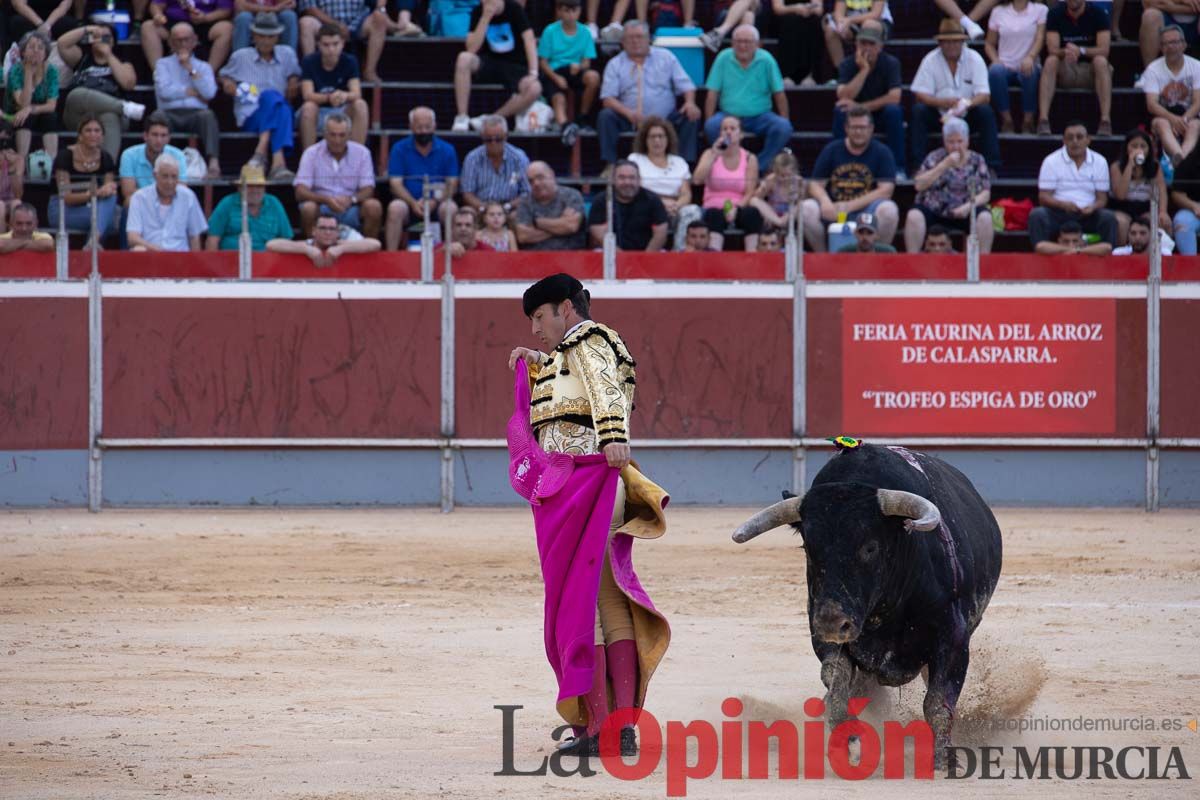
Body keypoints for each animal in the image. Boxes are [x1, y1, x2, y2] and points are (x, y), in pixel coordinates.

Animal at [729, 443, 1003, 758]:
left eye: (870, 547)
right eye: (808, 547)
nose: (832, 623)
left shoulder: (953, 637)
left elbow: (937, 702)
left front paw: (943, 758)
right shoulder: (825, 636)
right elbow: (835, 683)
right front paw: (847, 737)